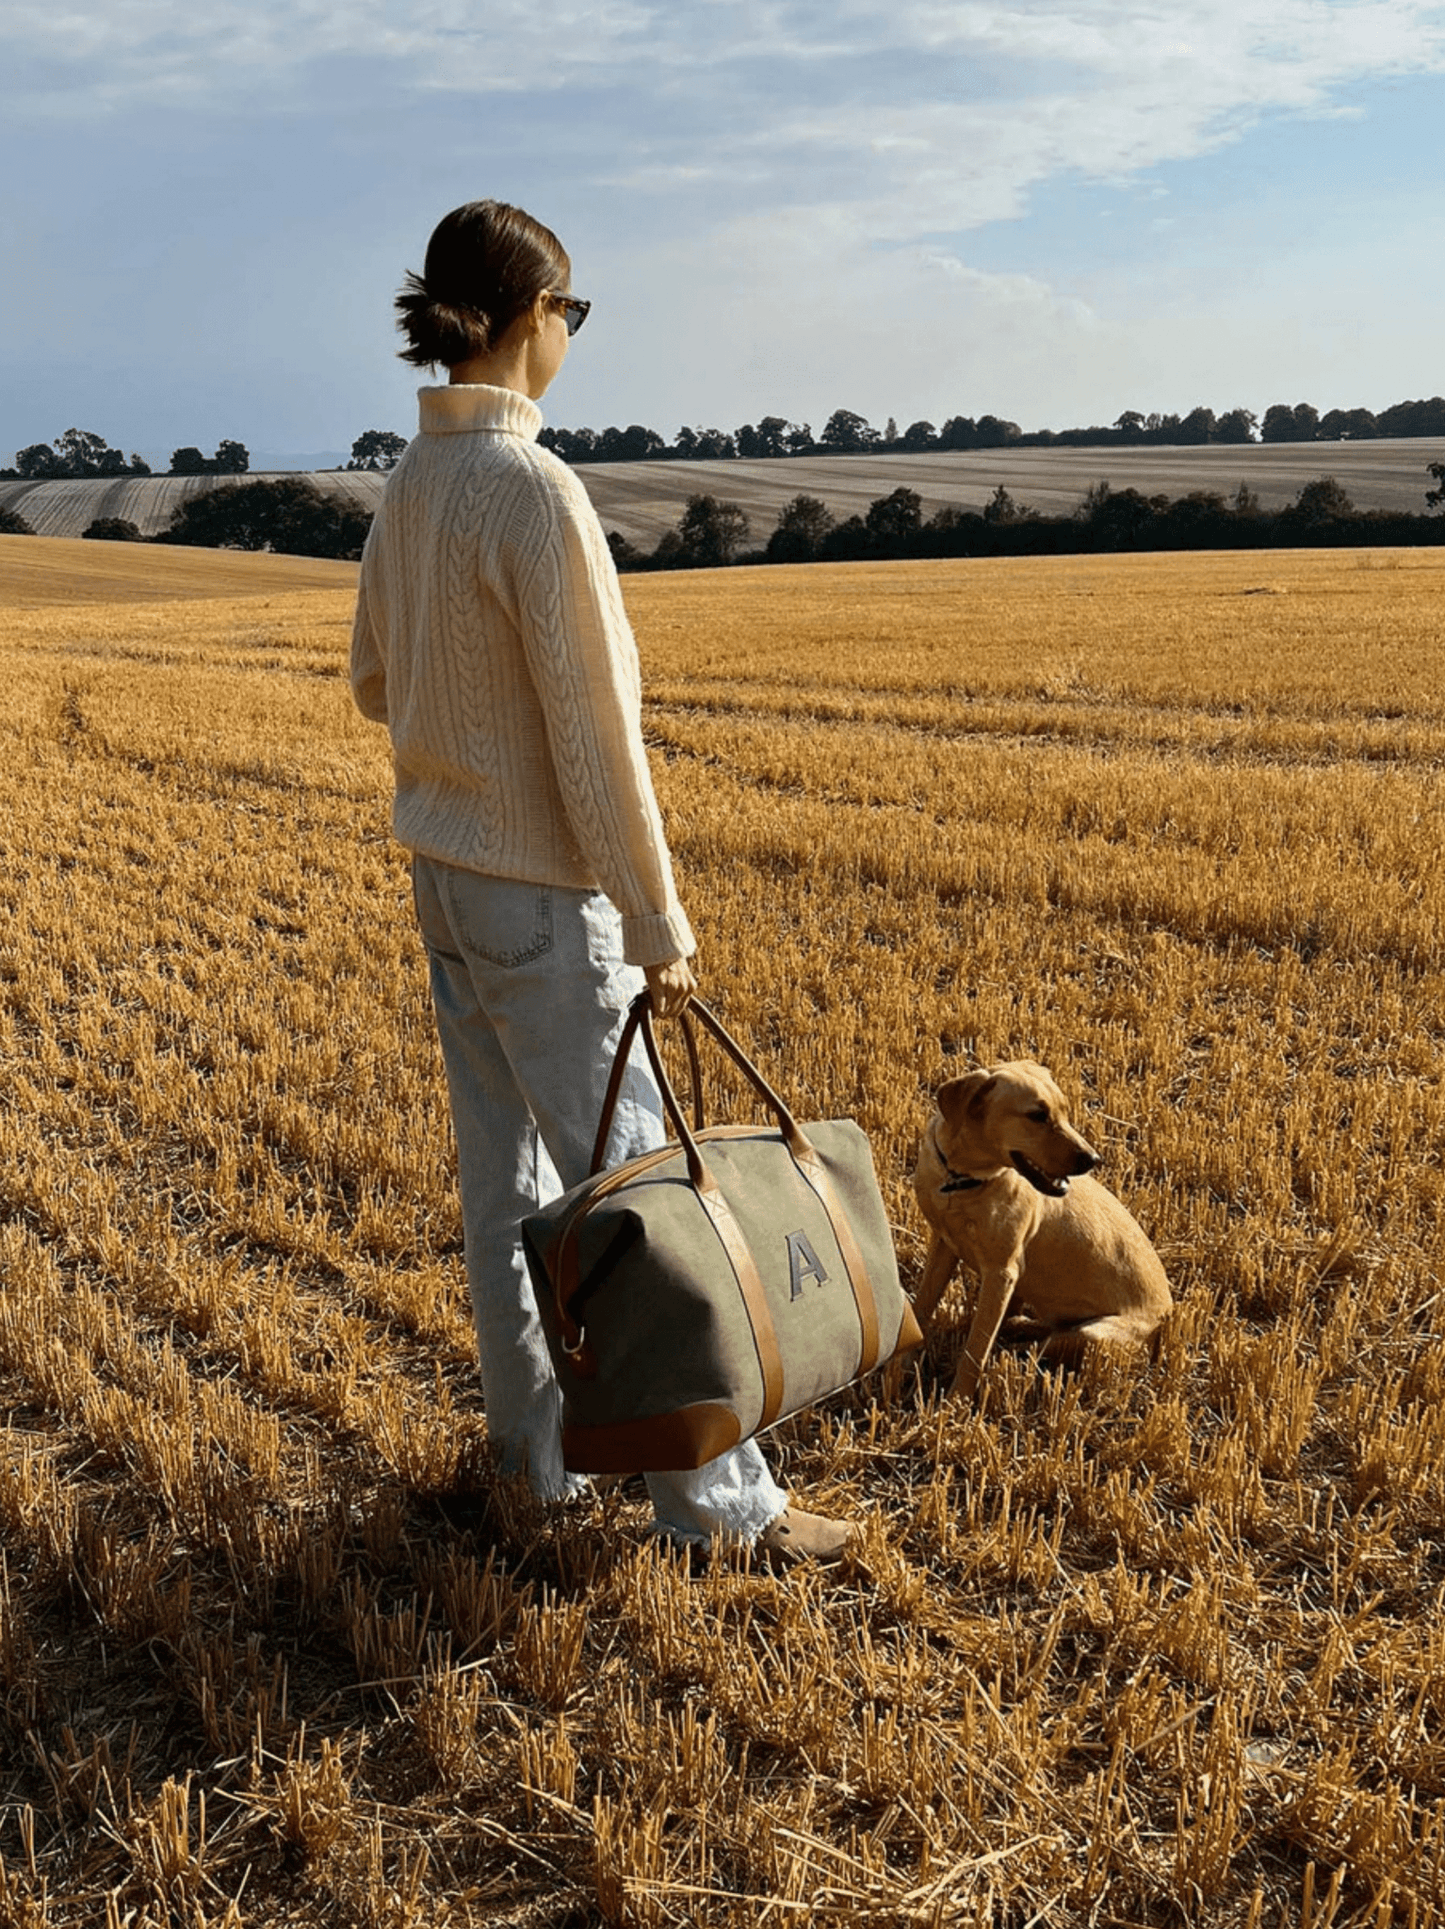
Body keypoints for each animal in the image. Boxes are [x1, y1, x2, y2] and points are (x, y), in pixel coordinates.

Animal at [914, 1064, 1172, 1396]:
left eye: (1064, 1111)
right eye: (1037, 1115)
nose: (1093, 1159)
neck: (962, 1180)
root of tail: (1167, 1318)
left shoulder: (1002, 1272)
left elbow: (976, 1349)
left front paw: (956, 1400)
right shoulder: (944, 1245)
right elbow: (922, 1308)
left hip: (1093, 1334)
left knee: (1036, 1347)